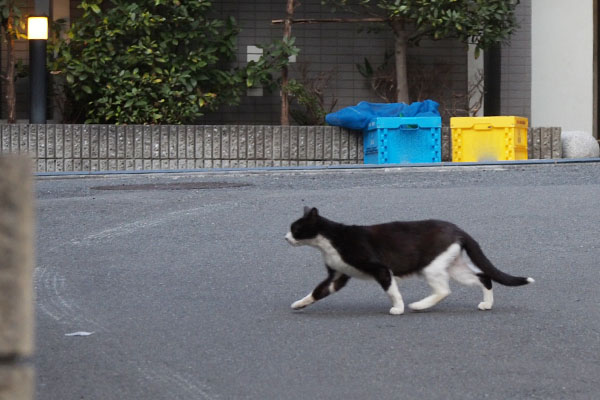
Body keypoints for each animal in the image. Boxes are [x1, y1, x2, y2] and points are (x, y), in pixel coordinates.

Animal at [286, 206, 536, 316]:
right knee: (483, 277)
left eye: (295, 229)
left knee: (444, 290)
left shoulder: (380, 268)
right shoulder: (337, 275)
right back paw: (487, 304)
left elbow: (391, 291)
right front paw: (300, 304)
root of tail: (458, 230)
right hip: (454, 265)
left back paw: (419, 305)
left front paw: (398, 308)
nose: (285, 237)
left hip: (431, 266)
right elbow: (318, 291)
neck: (329, 242)